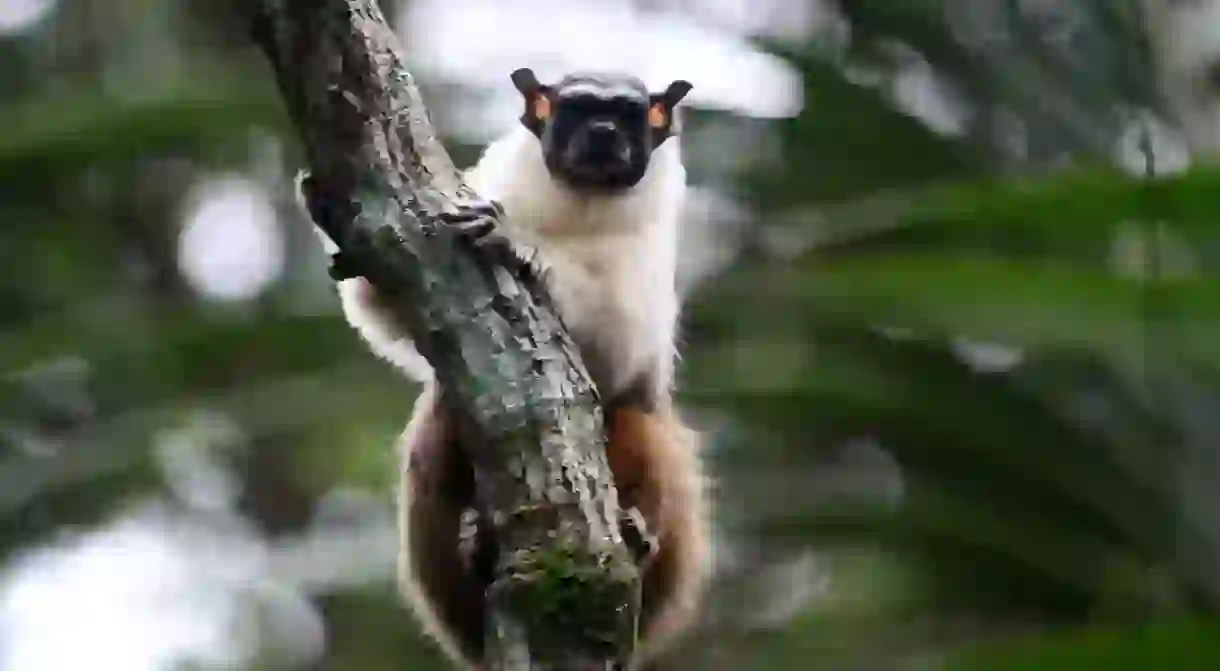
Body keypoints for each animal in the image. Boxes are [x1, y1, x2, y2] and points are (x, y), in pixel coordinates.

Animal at [298, 67, 712, 668]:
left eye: (628, 115)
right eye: (578, 110)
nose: (604, 133)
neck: (580, 203)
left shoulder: (648, 251)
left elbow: (615, 346)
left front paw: (520, 245)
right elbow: (381, 304)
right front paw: (326, 210)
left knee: (641, 420)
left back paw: (635, 535)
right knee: (439, 421)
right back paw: (477, 548)